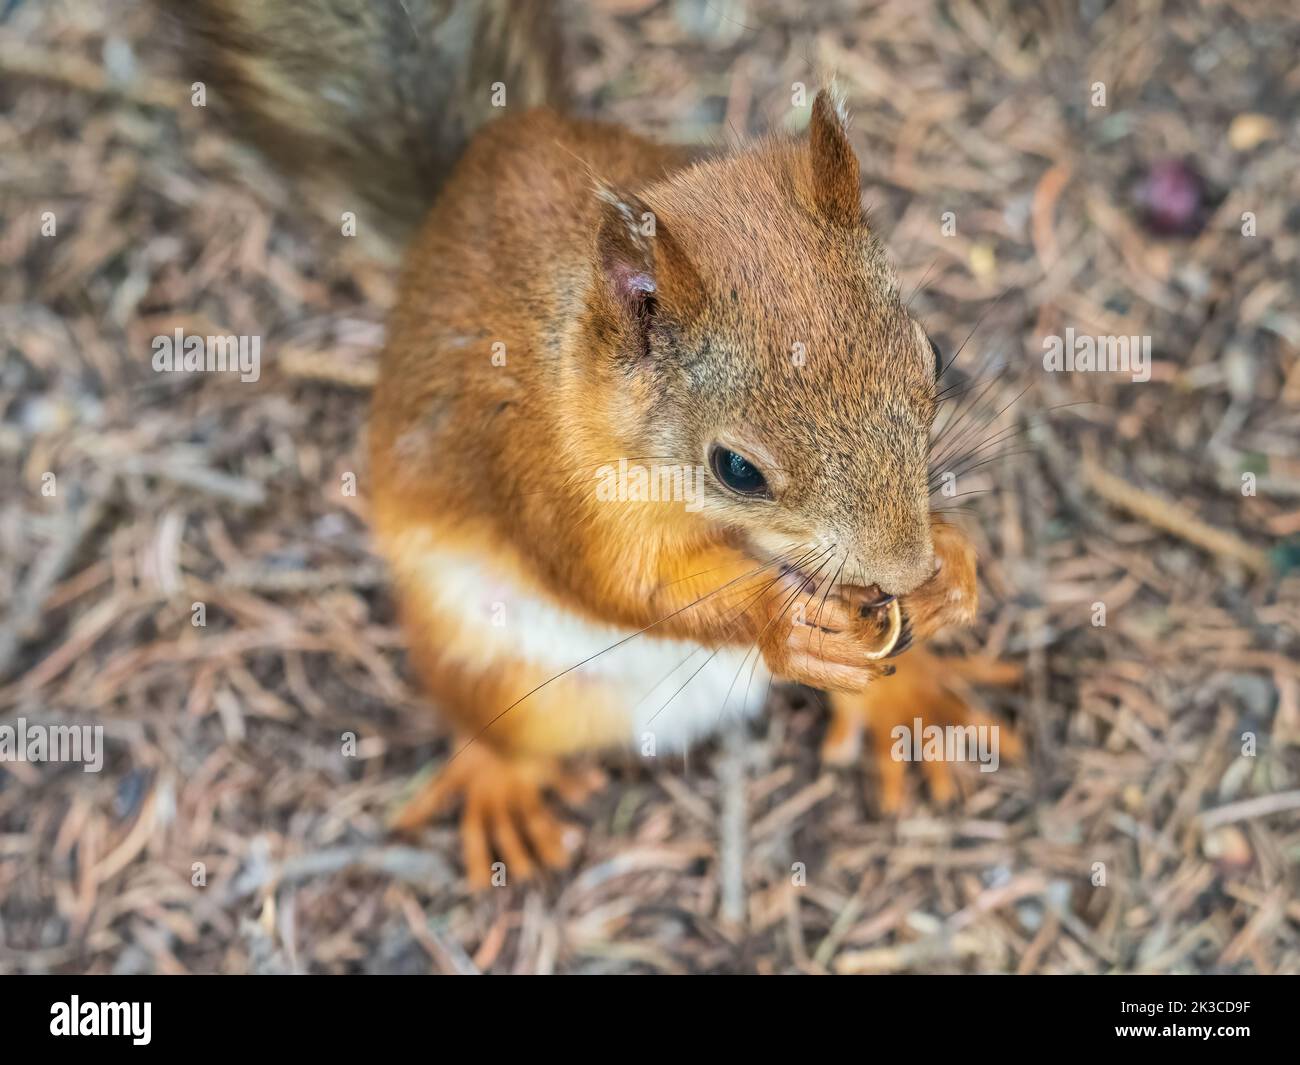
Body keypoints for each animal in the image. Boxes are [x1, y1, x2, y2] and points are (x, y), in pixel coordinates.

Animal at [172, 0, 1019, 889]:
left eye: (931, 355)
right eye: (737, 469)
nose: (903, 569)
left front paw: (952, 568)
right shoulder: (540, 470)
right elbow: (625, 584)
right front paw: (784, 621)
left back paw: (911, 698)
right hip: (478, 655)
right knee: (490, 728)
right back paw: (500, 784)